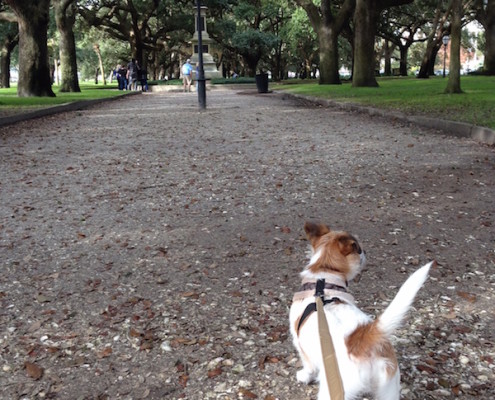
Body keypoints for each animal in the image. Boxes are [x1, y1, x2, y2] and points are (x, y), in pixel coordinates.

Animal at [288, 222, 432, 400]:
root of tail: (365, 339)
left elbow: (308, 365)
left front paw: (304, 376)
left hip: (333, 389)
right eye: (359, 250)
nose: (365, 251)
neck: (324, 276)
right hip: (389, 390)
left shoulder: (300, 344)